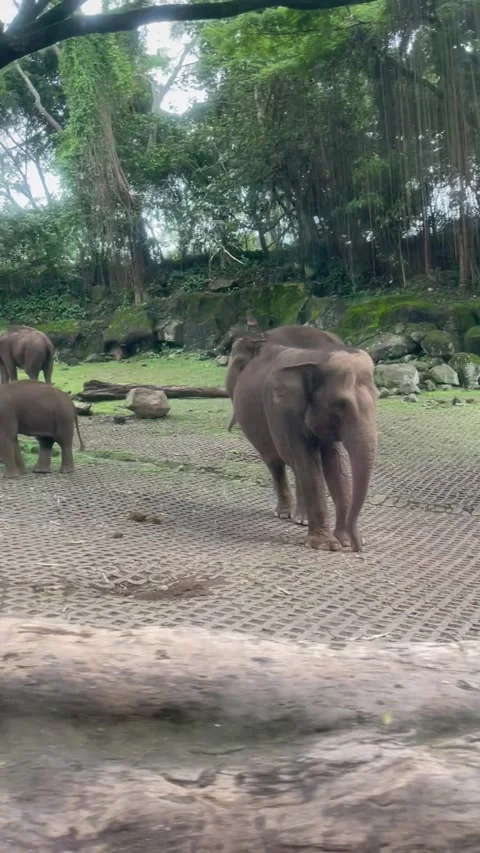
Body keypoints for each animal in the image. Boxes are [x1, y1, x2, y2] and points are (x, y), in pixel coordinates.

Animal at [226, 335, 377, 552]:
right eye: (340, 405)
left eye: (377, 399)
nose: (358, 548)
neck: (318, 359)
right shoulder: (283, 410)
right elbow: (307, 460)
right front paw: (327, 545)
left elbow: (335, 464)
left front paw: (344, 540)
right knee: (277, 461)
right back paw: (285, 514)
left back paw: (302, 519)